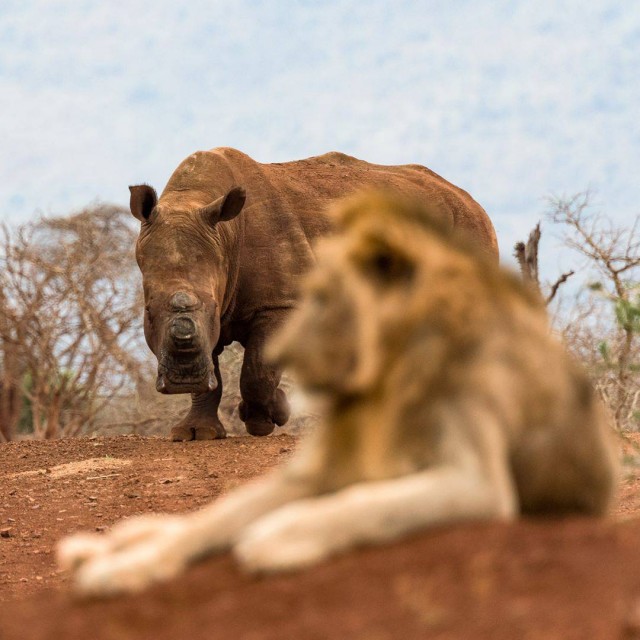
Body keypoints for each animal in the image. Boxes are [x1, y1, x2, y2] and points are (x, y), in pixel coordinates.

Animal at [57, 189, 616, 596]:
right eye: (147, 313)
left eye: (209, 306)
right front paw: (197, 436)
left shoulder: (279, 303)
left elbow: (258, 366)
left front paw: (266, 419)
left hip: (473, 230)